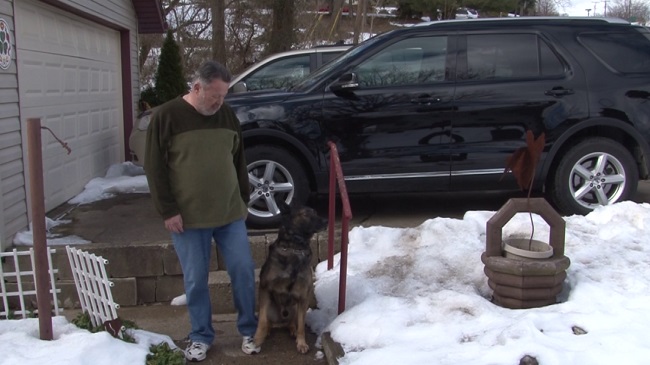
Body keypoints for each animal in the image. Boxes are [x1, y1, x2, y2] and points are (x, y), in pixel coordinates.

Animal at [252, 200, 326, 352]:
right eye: (305, 214)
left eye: (315, 212)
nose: (326, 221)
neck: (295, 248)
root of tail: (281, 320)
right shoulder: (265, 288)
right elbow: (262, 321)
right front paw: (257, 339)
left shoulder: (303, 296)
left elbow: (301, 326)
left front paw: (301, 343)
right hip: (269, 306)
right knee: (268, 321)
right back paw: (268, 331)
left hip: (297, 307)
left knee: (293, 322)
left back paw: (293, 330)